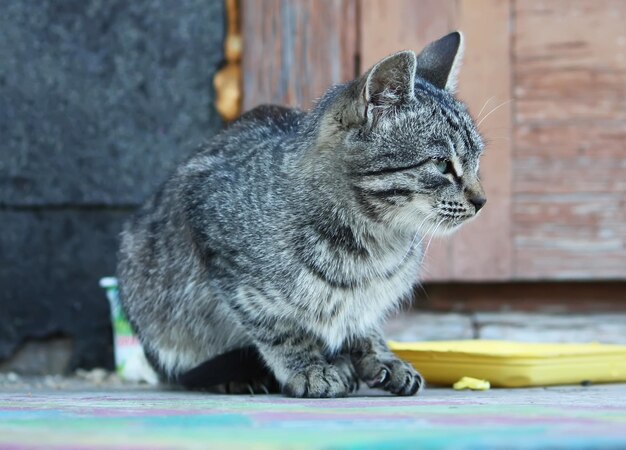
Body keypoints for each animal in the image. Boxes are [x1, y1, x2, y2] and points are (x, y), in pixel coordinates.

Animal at [118, 31, 488, 398]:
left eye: (476, 161)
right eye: (441, 165)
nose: (482, 200)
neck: (373, 244)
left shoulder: (369, 300)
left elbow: (363, 320)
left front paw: (379, 355)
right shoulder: (220, 248)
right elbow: (280, 328)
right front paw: (308, 367)